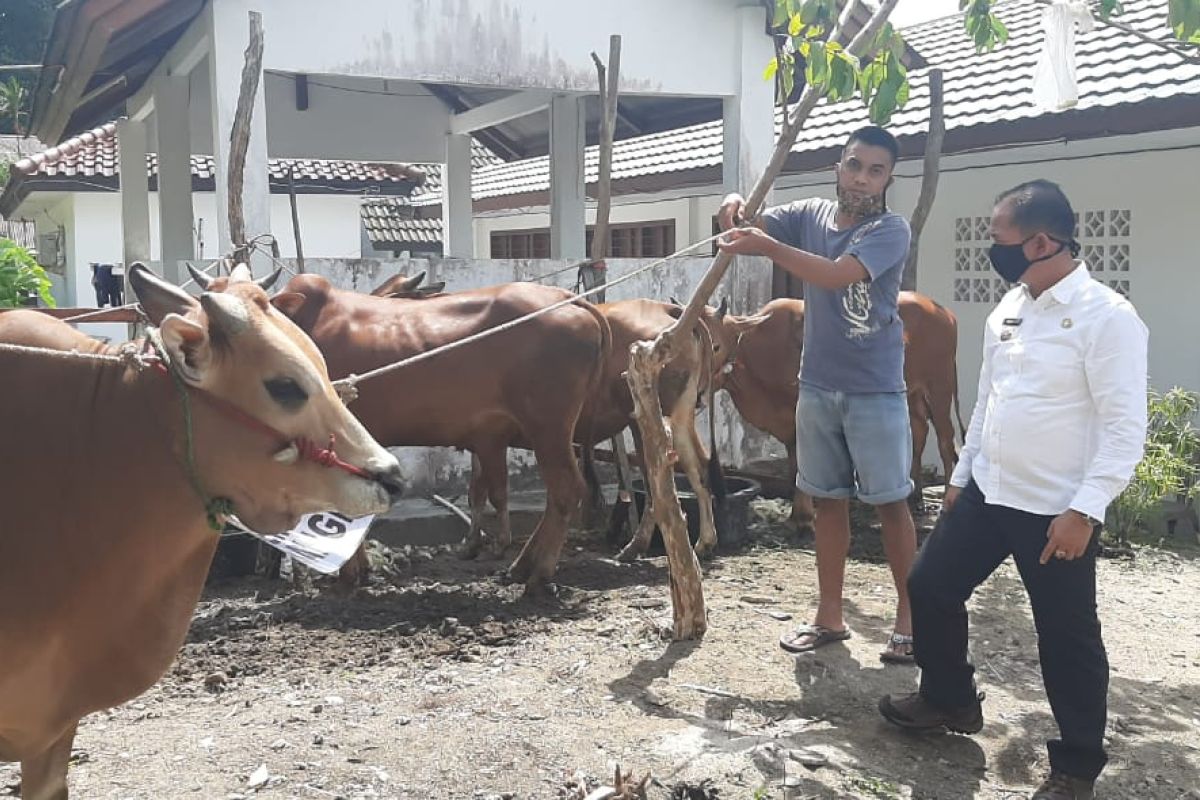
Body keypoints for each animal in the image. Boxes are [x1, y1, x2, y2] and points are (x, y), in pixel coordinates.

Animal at [253, 273, 609, 587]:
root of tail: (569, 299)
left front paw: (350, 575)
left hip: (548, 426)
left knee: (566, 490)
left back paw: (539, 573)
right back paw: (522, 566)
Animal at [710, 292, 964, 525]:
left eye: (715, 345)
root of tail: (942, 311)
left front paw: (805, 515)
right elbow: (794, 464)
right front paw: (798, 514)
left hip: (940, 387)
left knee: (945, 440)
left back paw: (945, 500)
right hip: (912, 395)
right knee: (920, 433)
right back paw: (917, 498)